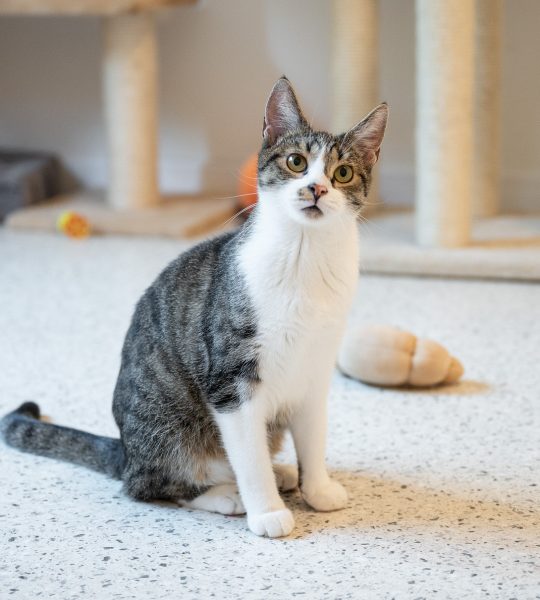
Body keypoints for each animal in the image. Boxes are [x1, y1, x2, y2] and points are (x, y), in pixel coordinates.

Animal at [1, 77, 387, 538]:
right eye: (296, 162)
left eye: (342, 173)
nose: (316, 188)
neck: (303, 258)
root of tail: (125, 451)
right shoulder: (231, 378)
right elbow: (248, 455)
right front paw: (267, 511)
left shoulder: (314, 367)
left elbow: (312, 437)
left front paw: (318, 488)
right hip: (168, 428)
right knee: (149, 485)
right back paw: (226, 494)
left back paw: (283, 474)